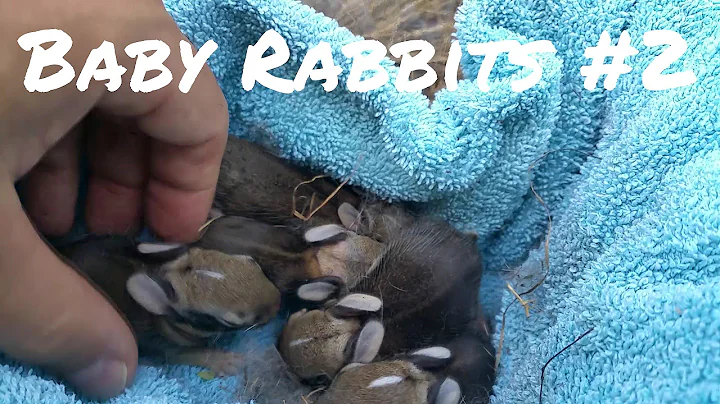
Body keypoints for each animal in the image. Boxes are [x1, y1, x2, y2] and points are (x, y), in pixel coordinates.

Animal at [55, 234, 282, 376]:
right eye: (230, 321)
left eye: (250, 261)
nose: (278, 304)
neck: (162, 270)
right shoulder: (166, 346)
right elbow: (192, 354)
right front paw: (227, 362)